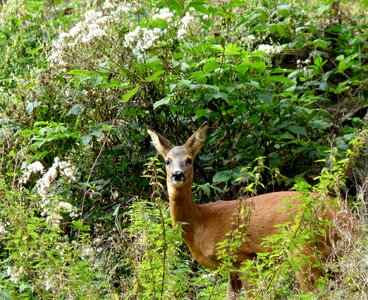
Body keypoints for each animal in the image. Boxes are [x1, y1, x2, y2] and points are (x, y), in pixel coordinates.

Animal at [146, 122, 354, 298]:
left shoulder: (245, 257)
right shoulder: (231, 269)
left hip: (304, 248)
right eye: (167, 161)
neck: (200, 222)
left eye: (189, 160)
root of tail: (349, 218)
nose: (177, 174)